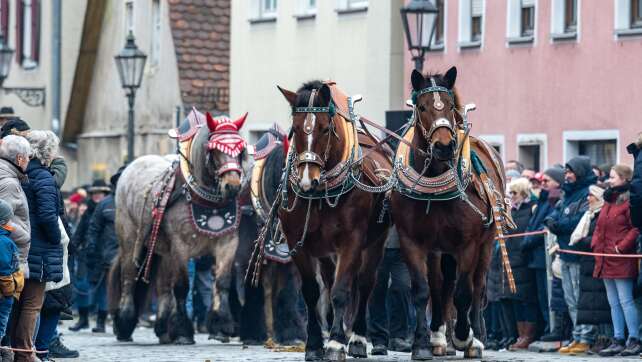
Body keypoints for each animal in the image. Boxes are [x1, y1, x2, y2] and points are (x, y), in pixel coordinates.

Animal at [109, 109, 249, 346]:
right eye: (214, 150)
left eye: (240, 150)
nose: (232, 186)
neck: (205, 200)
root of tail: (130, 167)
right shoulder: (181, 248)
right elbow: (182, 287)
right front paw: (184, 331)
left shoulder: (227, 243)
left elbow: (222, 283)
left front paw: (222, 325)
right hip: (129, 239)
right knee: (128, 277)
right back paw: (125, 323)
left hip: (162, 250)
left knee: (163, 288)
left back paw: (163, 328)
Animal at [272, 80, 392, 360]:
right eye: (295, 128)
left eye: (325, 129)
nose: (307, 181)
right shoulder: (298, 243)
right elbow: (311, 292)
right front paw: (315, 344)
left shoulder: (352, 241)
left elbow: (341, 291)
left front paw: (337, 343)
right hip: (325, 251)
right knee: (328, 280)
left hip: (375, 242)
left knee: (365, 283)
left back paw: (356, 338)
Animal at [388, 67, 512, 360]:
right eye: (422, 107)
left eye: (449, 105)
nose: (444, 145)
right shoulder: (413, 241)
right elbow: (423, 290)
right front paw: (424, 343)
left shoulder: (467, 243)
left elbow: (464, 292)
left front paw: (464, 337)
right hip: (439, 249)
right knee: (440, 285)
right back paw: (439, 337)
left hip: (486, 243)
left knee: (477, 284)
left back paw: (475, 338)